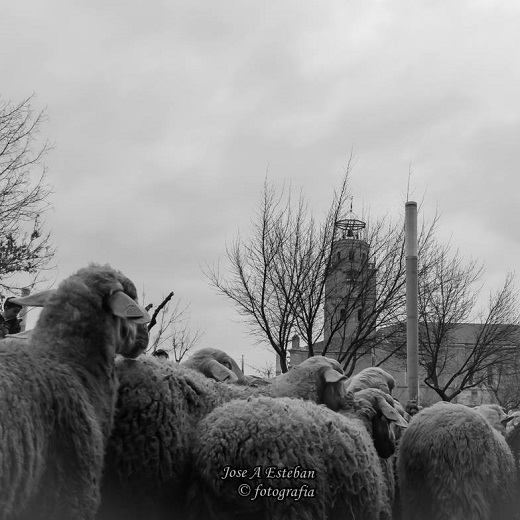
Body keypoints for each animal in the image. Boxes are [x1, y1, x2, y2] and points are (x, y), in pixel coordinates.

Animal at [185, 390, 408, 520]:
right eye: (388, 420)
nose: (392, 448)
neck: (359, 421)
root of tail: (228, 442)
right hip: (291, 502)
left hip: (214, 506)